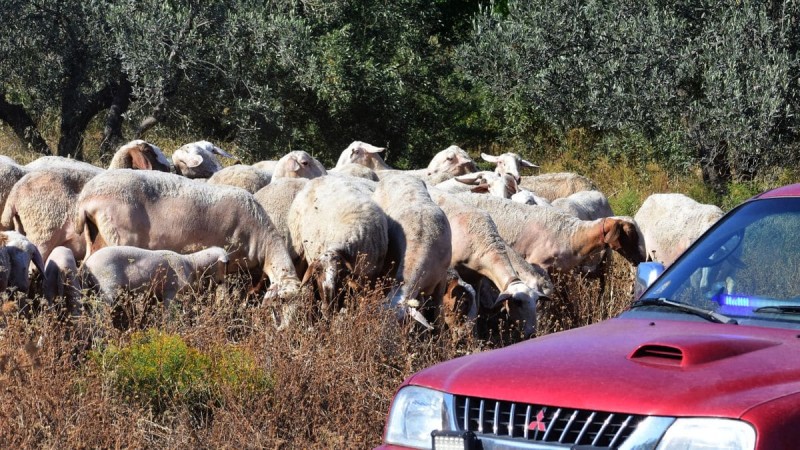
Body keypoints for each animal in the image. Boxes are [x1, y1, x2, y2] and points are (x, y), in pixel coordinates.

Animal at [288, 174, 388, 314]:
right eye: (317, 272)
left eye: (340, 274)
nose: (327, 309)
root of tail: (320, 177)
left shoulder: (369, 278)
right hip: (298, 245)